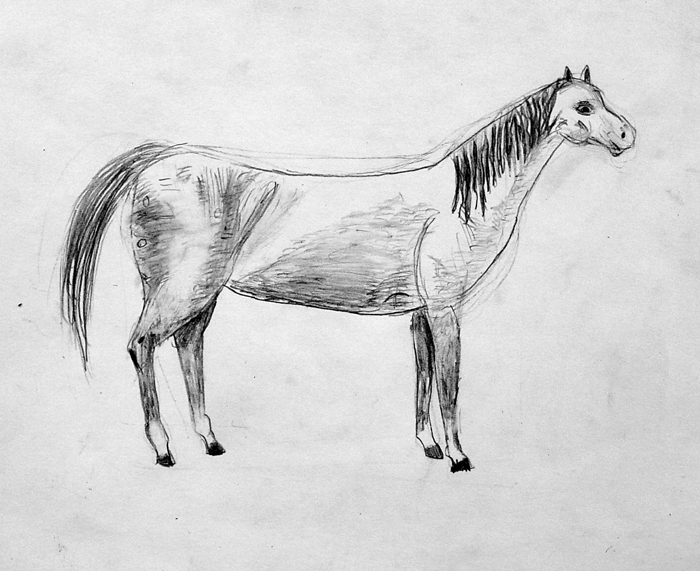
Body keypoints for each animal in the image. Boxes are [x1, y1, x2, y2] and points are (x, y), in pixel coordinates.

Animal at [61, 66, 635, 471]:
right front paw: (458, 456)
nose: (627, 136)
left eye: (602, 99)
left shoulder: (421, 312)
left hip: (201, 294)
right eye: (584, 106)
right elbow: (448, 383)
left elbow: (423, 374)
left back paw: (210, 440)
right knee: (142, 346)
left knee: (188, 345)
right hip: (177, 290)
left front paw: (428, 446)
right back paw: (163, 448)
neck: (459, 202)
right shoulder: (445, 308)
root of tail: (156, 163)